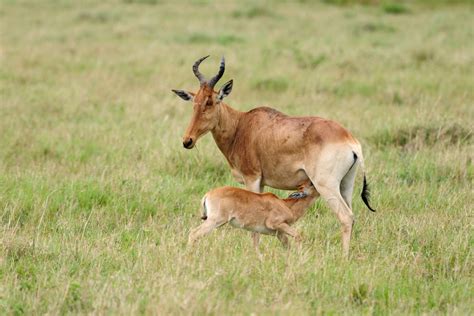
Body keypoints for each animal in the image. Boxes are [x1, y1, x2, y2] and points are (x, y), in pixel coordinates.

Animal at [188, 183, 318, 252]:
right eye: (311, 183)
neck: (285, 204)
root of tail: (208, 194)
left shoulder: (279, 233)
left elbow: (287, 246)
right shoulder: (276, 224)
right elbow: (298, 235)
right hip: (214, 221)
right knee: (194, 233)